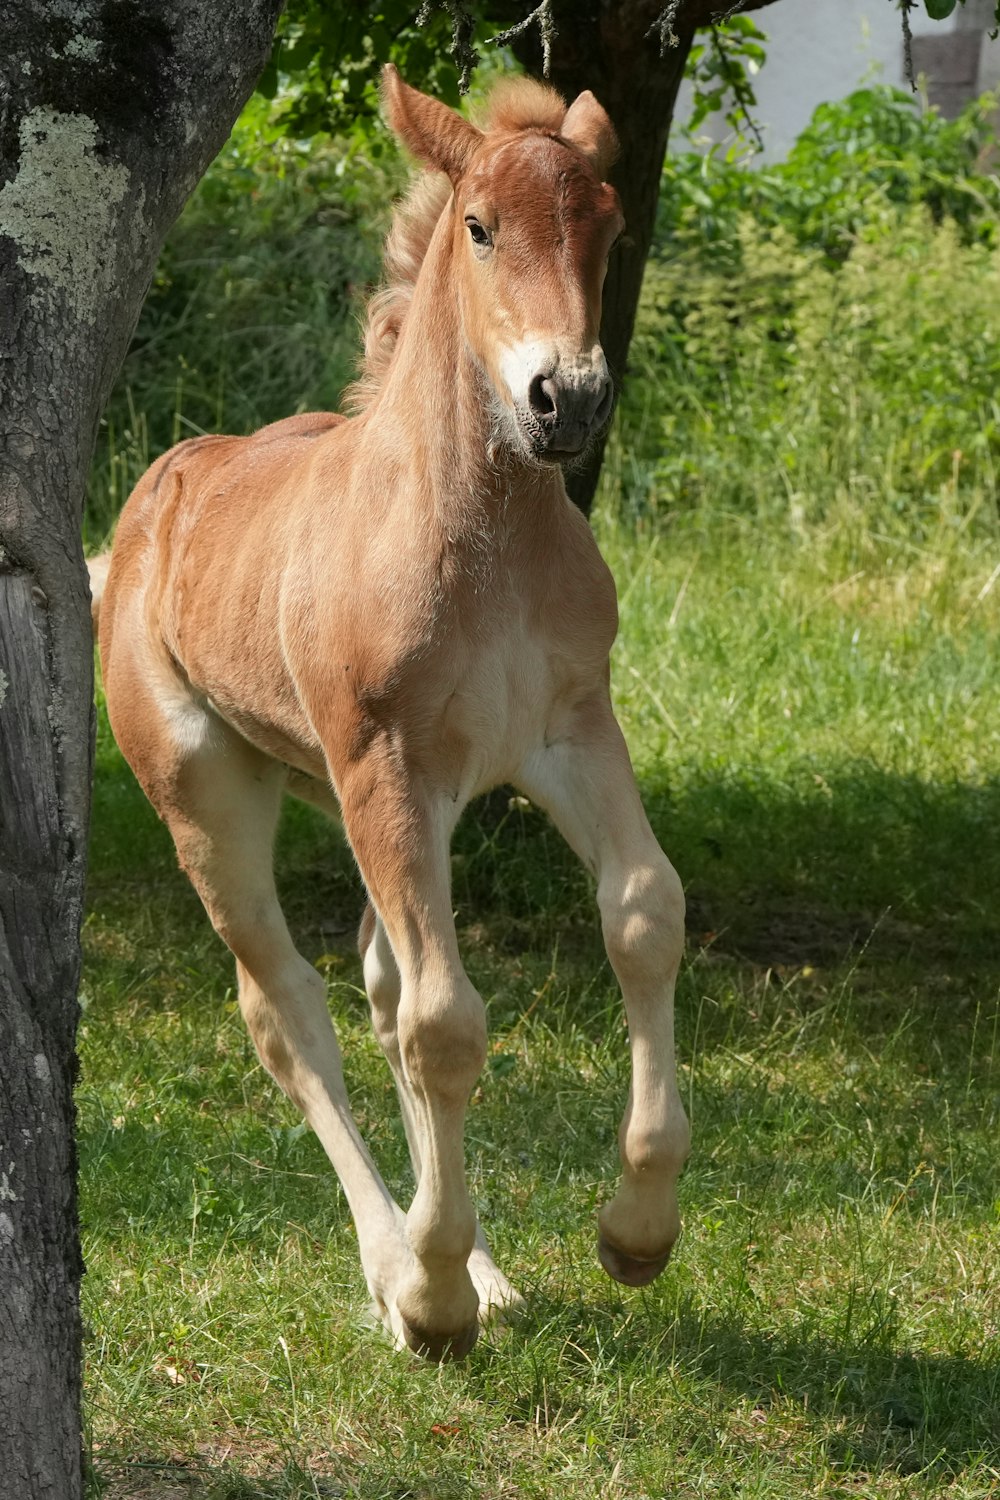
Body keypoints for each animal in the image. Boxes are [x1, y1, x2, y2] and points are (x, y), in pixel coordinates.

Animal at [95, 67, 689, 1362]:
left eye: (609, 226)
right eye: (479, 228)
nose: (566, 400)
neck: (485, 536)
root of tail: (145, 514)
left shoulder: (569, 731)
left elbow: (642, 914)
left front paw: (635, 1231)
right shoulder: (386, 762)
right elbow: (446, 1023)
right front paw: (430, 1300)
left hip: (383, 800)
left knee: (373, 983)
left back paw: (477, 1264)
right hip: (215, 800)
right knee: (290, 1008)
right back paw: (396, 1266)